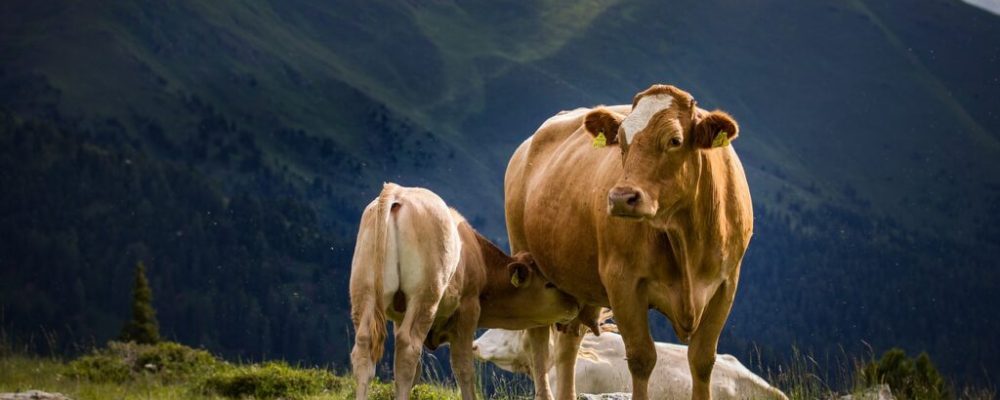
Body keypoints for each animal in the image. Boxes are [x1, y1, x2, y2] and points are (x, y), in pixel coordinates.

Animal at [350, 183, 580, 400]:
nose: (576, 304)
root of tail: (398, 192)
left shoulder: (399, 316)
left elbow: (417, 372)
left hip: (364, 291)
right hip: (425, 295)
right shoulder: (468, 310)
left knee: (364, 346)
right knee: (407, 347)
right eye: (549, 284)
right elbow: (464, 368)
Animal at [505, 84, 753, 400]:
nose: (622, 197)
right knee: (539, 339)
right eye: (622, 142)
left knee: (569, 344)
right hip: (527, 260)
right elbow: (641, 358)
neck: (685, 238)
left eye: (675, 140)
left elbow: (702, 359)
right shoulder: (623, 282)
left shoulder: (726, 284)